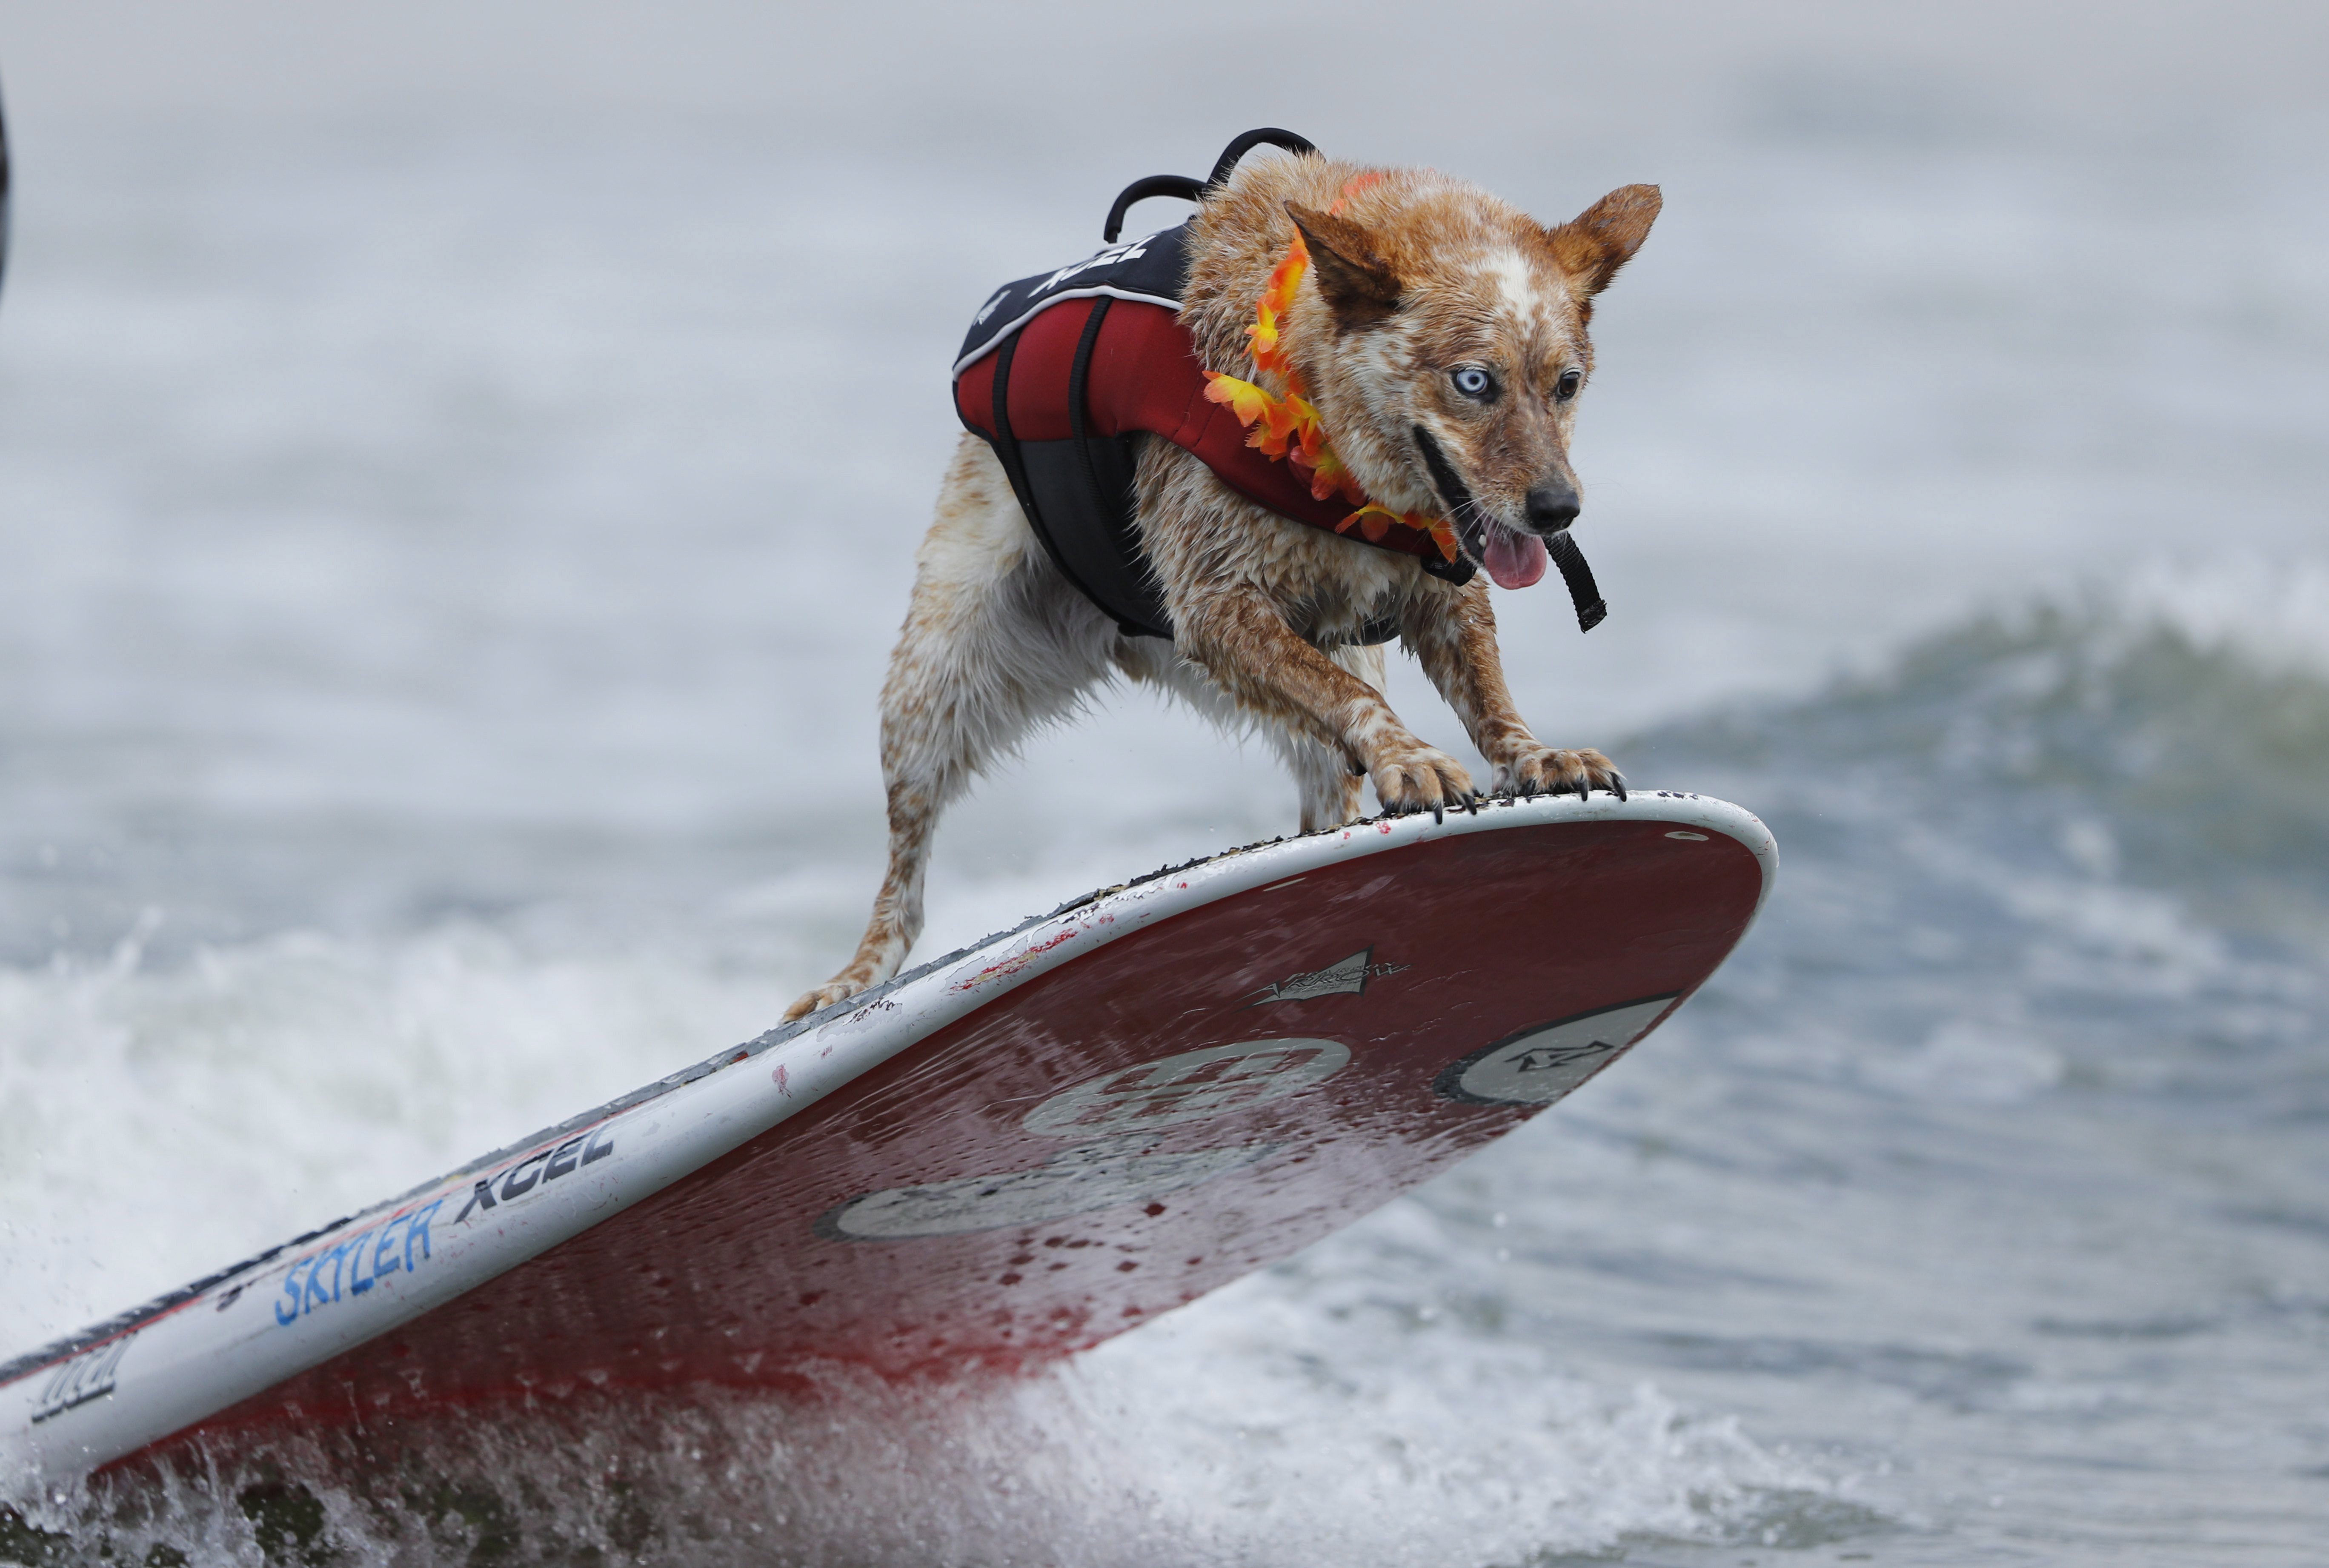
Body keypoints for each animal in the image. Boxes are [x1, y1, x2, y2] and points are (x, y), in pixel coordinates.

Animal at [792, 156, 1667, 1016]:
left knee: (1324, 788)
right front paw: (1410, 757)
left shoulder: (1442, 587)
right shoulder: (1218, 608)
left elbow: (1486, 692)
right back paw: (854, 981)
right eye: (1474, 381)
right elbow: (1360, 706)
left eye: (1568, 383)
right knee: (905, 878)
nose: (1558, 509)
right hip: (938, 679)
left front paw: (1534, 754)